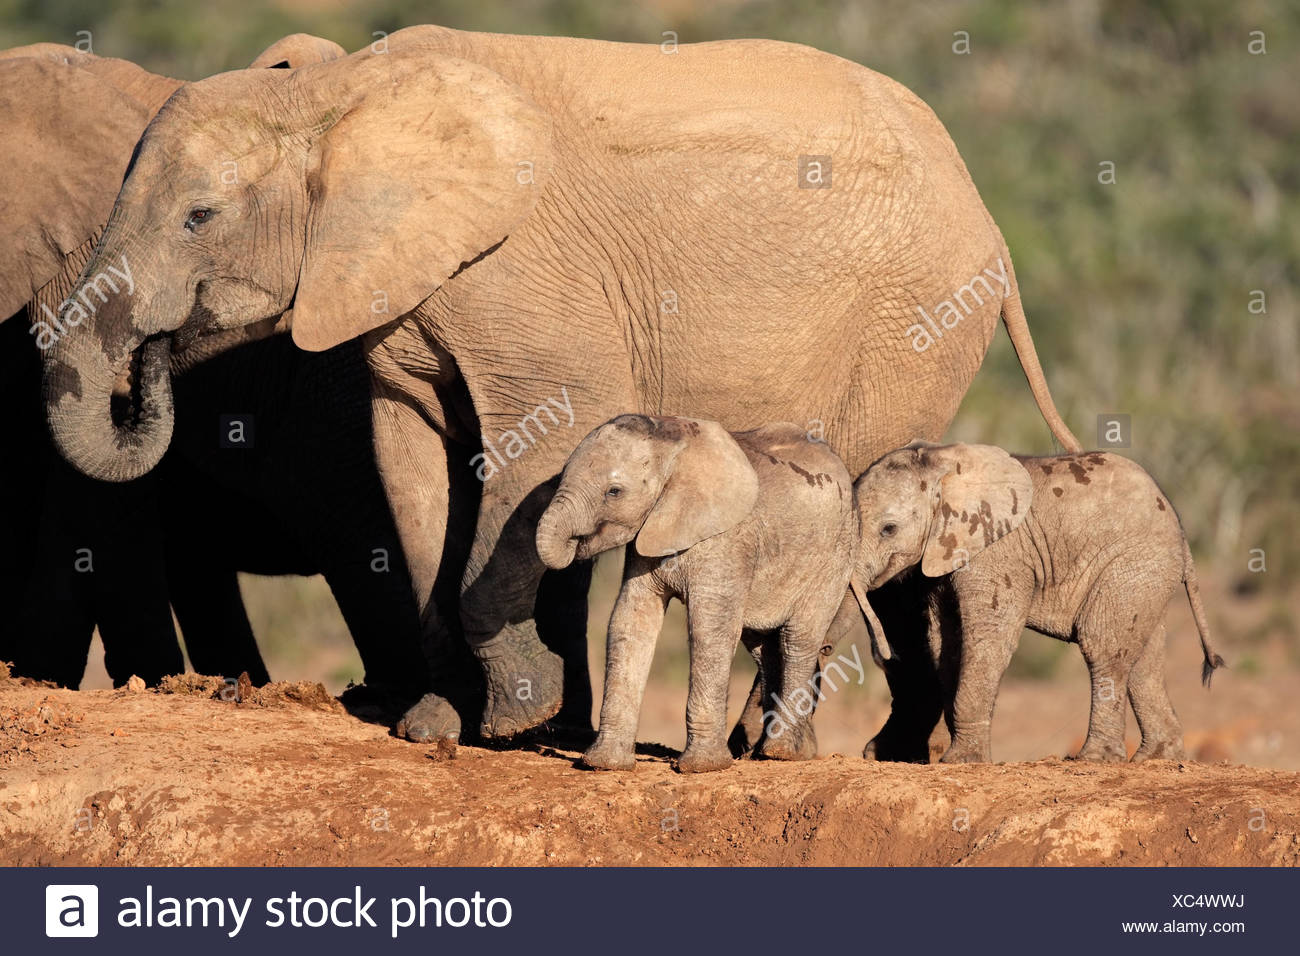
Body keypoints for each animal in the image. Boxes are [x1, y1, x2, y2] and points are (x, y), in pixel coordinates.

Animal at [536, 415, 882, 772]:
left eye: (614, 492)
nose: (577, 545)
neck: (673, 447)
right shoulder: (647, 539)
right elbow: (630, 621)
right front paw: (603, 764)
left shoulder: (726, 540)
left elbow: (708, 630)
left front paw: (701, 767)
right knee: (763, 647)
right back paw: (764, 752)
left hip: (833, 557)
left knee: (797, 640)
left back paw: (783, 753)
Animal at [851, 442, 1226, 763]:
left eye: (888, 529)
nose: (885, 654)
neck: (941, 461)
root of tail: (1180, 531)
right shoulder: (941, 556)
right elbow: (946, 642)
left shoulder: (999, 552)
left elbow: (989, 637)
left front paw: (962, 762)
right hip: (1146, 576)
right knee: (1143, 659)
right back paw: (1156, 758)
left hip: (1135, 562)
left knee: (1102, 645)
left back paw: (1095, 759)